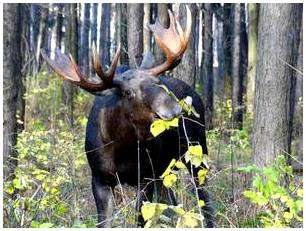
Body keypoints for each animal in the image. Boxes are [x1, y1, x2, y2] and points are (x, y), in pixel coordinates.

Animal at [41, 4, 214, 227]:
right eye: (128, 92)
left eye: (158, 81)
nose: (173, 109)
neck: (120, 147)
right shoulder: (99, 179)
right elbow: (104, 222)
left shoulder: (146, 177)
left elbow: (141, 219)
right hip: (166, 170)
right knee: (172, 200)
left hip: (196, 151)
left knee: (204, 198)